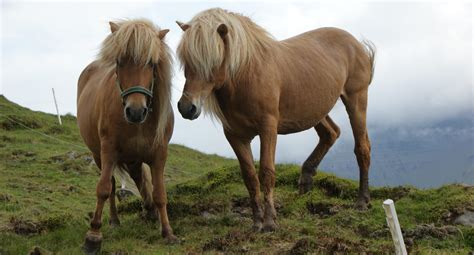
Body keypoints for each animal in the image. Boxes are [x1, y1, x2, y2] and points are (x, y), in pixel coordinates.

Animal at [77, 19, 175, 253]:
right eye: (120, 62)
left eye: (151, 63)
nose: (135, 111)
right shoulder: (108, 150)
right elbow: (103, 189)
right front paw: (93, 236)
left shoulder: (159, 154)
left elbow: (160, 193)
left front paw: (167, 231)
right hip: (99, 155)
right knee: (112, 185)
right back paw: (113, 220)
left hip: (133, 158)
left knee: (139, 179)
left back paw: (149, 211)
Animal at [176, 8, 376, 231]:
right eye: (186, 62)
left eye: (212, 62)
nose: (187, 108)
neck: (247, 75)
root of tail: (356, 43)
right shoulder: (235, 136)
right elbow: (250, 177)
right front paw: (256, 222)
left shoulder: (268, 129)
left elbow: (266, 172)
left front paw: (270, 222)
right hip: (316, 109)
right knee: (331, 133)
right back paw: (306, 179)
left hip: (356, 100)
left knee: (362, 148)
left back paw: (362, 201)